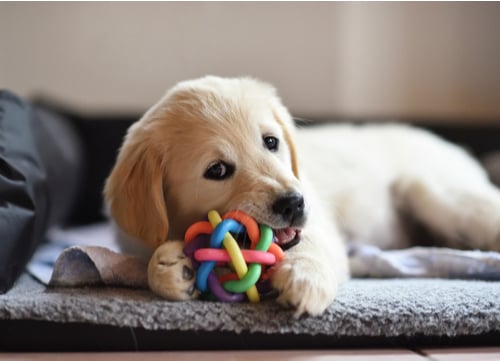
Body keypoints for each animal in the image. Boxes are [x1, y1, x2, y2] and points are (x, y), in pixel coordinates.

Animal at [104, 75, 500, 316]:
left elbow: (310, 246)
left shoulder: (321, 229)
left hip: (436, 194)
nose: (294, 203)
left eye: (271, 142)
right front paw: (171, 267)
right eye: (217, 170)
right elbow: (149, 263)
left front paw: (304, 279)